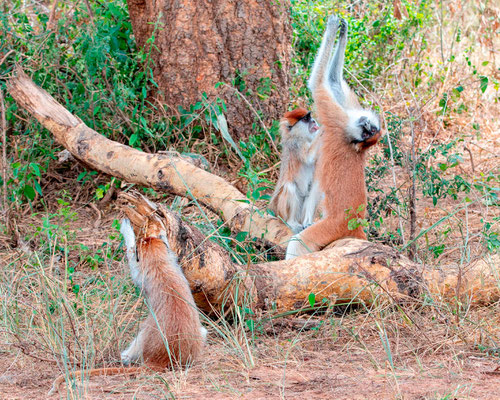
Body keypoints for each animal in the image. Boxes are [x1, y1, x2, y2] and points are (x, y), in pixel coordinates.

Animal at [286, 14, 382, 260]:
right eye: (368, 132)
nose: (366, 126)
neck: (352, 139)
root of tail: (355, 224)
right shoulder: (347, 116)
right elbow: (333, 81)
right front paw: (343, 30)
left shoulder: (338, 122)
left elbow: (318, 84)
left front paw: (331, 26)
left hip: (332, 226)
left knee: (298, 244)